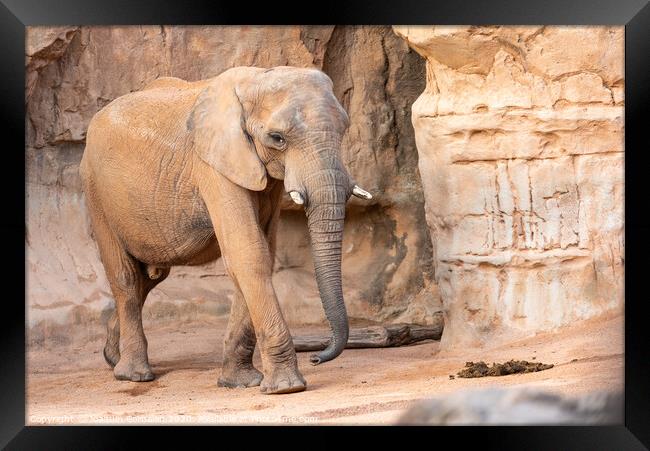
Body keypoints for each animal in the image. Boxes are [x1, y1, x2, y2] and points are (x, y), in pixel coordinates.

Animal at [80, 65, 372, 394]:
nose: (316, 358)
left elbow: (259, 252)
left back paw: (112, 357)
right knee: (127, 277)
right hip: (95, 189)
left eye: (344, 129)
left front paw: (240, 383)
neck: (256, 79)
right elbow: (248, 252)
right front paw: (286, 387)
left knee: (150, 278)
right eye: (277, 138)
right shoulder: (213, 165)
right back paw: (133, 374)